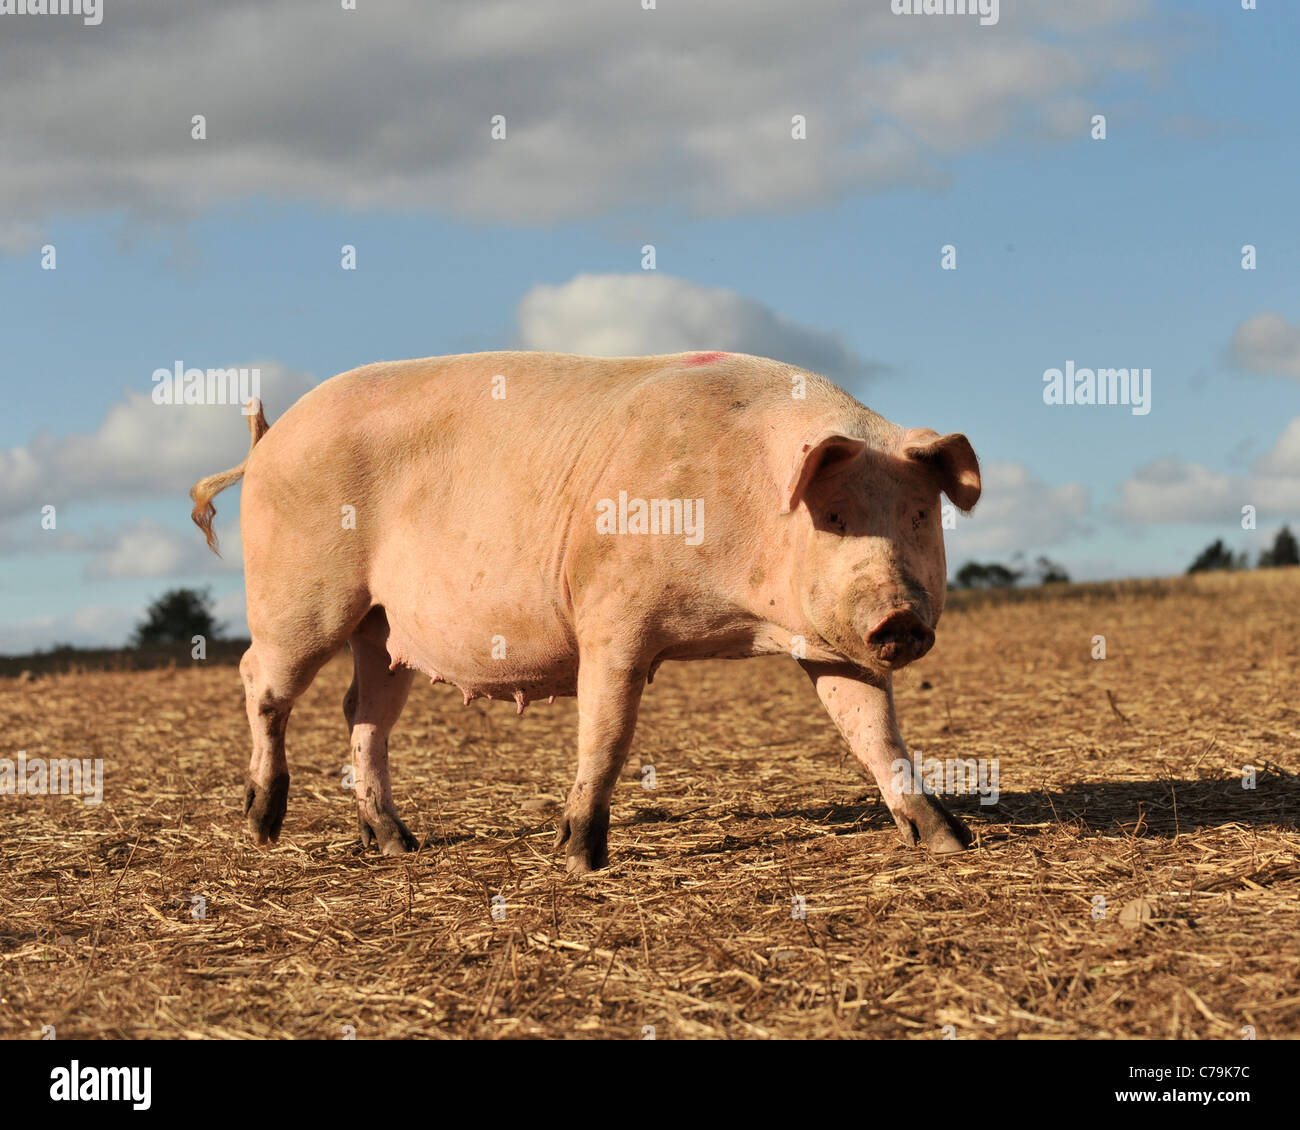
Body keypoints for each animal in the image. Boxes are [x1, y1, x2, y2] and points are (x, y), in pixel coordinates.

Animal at [190, 351, 981, 873]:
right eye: (837, 516)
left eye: (919, 515)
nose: (900, 618)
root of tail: (266, 441)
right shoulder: (611, 615)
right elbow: (607, 735)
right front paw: (579, 858)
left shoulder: (828, 644)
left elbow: (874, 732)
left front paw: (950, 839)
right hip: (302, 598)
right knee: (258, 677)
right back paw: (261, 825)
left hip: (382, 627)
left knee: (363, 713)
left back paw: (395, 843)